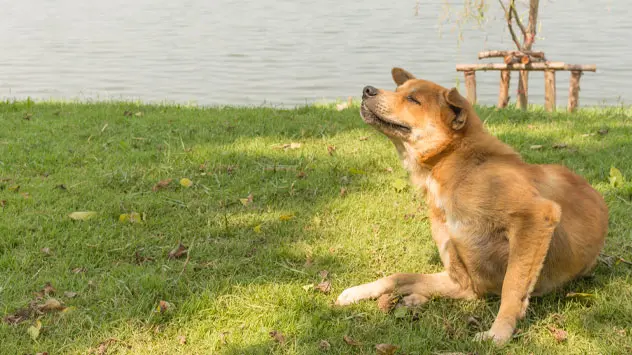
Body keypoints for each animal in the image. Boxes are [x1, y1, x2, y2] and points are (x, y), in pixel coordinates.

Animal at [336, 69, 608, 344]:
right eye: (399, 91)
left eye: (413, 99)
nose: (367, 90)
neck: (455, 166)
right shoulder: (464, 282)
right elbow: (399, 276)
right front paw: (359, 291)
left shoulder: (537, 216)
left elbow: (513, 285)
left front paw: (499, 332)